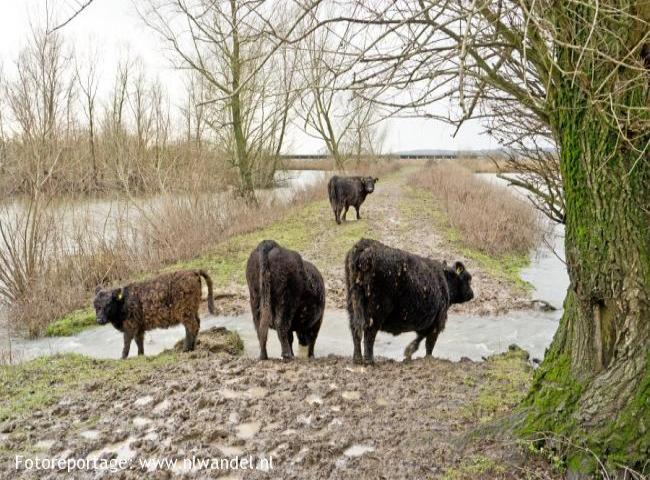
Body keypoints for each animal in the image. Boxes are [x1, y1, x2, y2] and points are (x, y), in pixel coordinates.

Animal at [344, 238, 470, 366]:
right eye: (468, 278)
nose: (472, 293)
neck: (444, 280)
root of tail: (364, 245)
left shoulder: (428, 323)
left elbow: (421, 337)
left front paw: (409, 352)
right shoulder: (438, 321)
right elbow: (429, 344)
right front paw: (424, 357)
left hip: (352, 305)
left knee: (355, 329)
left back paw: (357, 359)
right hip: (376, 310)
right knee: (369, 331)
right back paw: (369, 361)